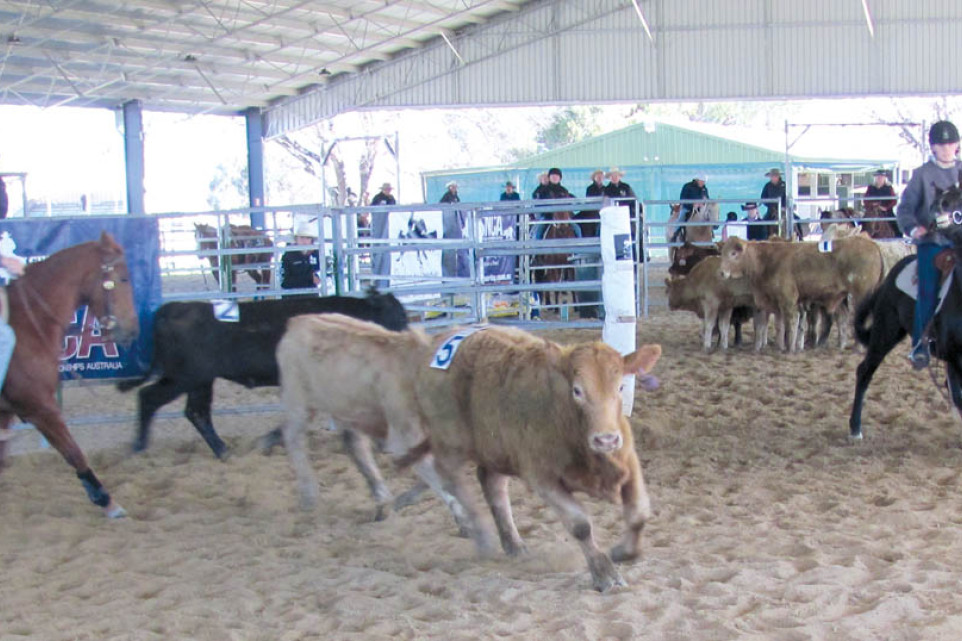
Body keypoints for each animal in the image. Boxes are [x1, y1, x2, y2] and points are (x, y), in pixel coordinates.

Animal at [0, 232, 139, 516]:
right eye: (123, 278)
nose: (133, 329)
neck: (29, 324)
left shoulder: (6, 414)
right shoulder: (41, 409)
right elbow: (74, 453)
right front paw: (107, 501)